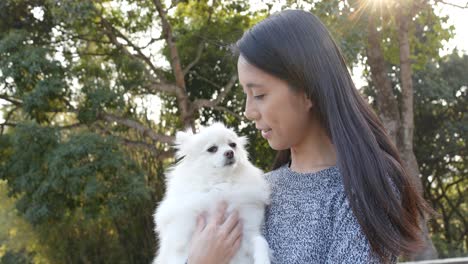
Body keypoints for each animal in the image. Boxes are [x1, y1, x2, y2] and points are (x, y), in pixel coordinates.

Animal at [153, 122, 270, 262]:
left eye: (233, 145)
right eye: (212, 149)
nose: (230, 153)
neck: (220, 184)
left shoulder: (248, 230)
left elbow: (261, 241)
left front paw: (264, 260)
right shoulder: (181, 241)